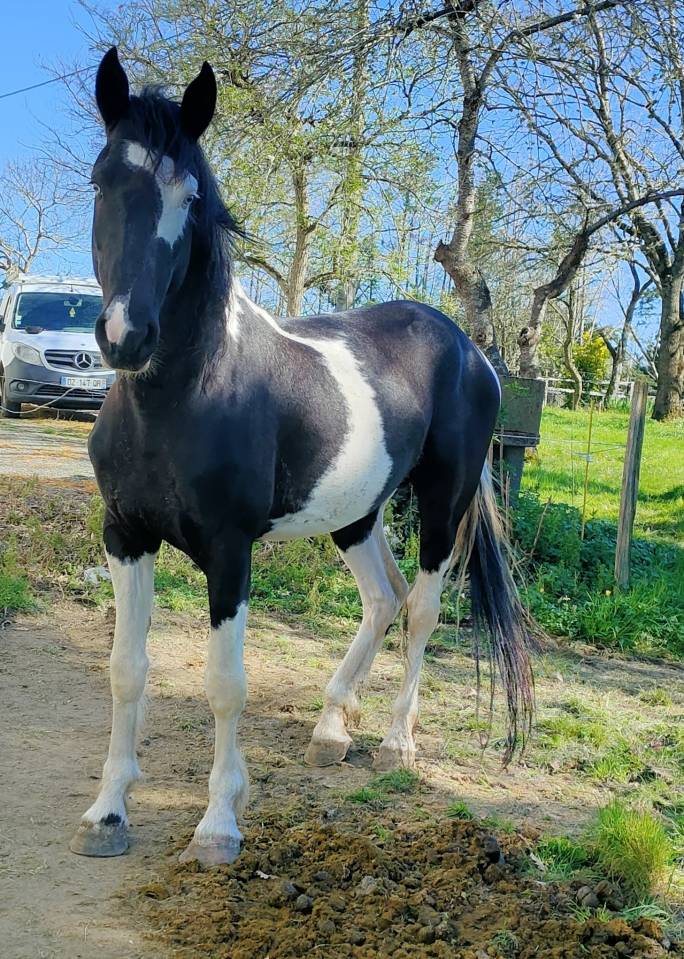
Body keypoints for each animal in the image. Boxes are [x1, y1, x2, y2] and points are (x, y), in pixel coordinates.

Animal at [70, 47, 533, 866]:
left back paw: (396, 743)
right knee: (381, 598)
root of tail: (466, 346)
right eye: (101, 179)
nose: (127, 336)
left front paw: (219, 823)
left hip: (443, 503)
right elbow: (126, 670)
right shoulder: (125, 535)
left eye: (189, 194)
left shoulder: (229, 552)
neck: (189, 394)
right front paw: (108, 812)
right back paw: (330, 730)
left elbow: (226, 683)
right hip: (357, 513)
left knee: (421, 609)